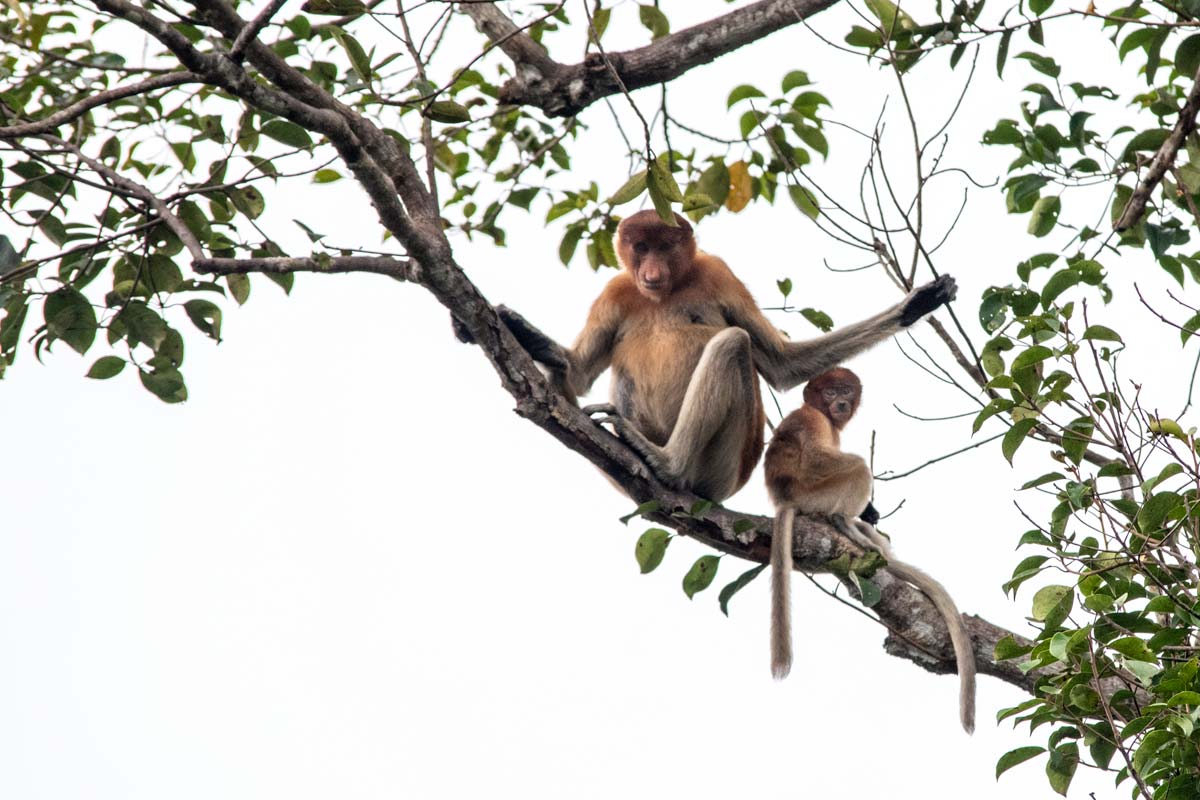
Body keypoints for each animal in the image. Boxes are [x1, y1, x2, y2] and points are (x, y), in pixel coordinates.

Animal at [477, 209, 955, 503]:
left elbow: (782, 366)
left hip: (721, 468)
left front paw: (919, 303)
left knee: (733, 343)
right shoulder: (615, 292)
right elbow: (578, 374)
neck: (666, 293)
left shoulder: (719, 274)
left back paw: (667, 464)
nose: (651, 271)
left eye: (665, 246)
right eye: (640, 246)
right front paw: (527, 335)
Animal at [768, 367, 974, 734]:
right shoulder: (813, 421)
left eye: (846, 390)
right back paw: (844, 522)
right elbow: (819, 458)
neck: (822, 414)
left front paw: (871, 513)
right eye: (830, 391)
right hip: (815, 494)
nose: (840, 402)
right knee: (854, 470)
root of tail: (784, 500)